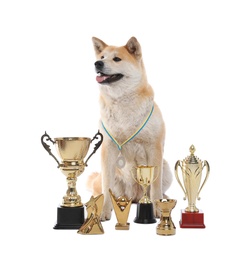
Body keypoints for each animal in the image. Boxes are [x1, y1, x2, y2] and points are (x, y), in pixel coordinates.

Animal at [87, 35, 173, 220]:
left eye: (117, 59)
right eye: (102, 57)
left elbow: (155, 186)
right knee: (102, 188)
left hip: (166, 169)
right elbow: (106, 187)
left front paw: (157, 208)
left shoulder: (154, 148)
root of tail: (133, 197)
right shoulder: (108, 149)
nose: (97, 63)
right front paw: (104, 211)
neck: (123, 101)